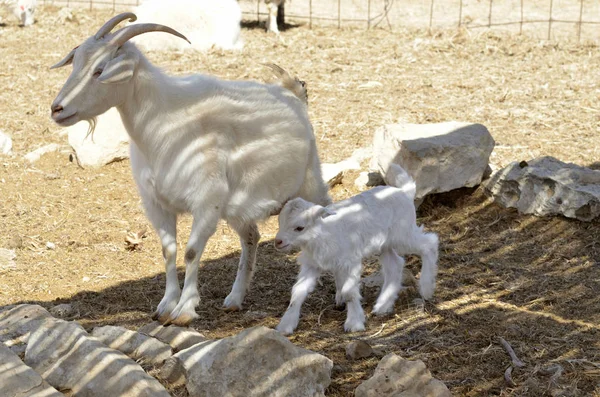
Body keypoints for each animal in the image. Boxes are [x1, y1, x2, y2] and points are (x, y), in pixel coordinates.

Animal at [49, 13, 330, 326]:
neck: (166, 123)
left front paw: (185, 309)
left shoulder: (206, 201)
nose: (57, 109)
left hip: (310, 182)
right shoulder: (157, 203)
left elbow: (192, 251)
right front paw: (165, 305)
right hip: (238, 204)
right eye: (75, 64)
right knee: (251, 237)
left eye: (99, 70)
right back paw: (235, 298)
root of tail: (293, 94)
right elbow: (168, 251)